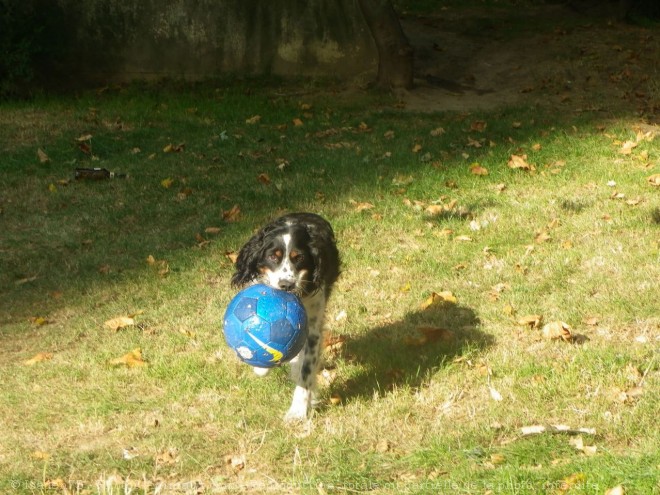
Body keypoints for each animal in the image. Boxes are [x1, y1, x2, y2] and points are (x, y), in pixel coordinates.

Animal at [231, 213, 340, 422]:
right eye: (273, 256)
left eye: (299, 258)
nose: (286, 285)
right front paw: (261, 368)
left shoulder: (313, 329)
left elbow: (306, 369)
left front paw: (298, 410)